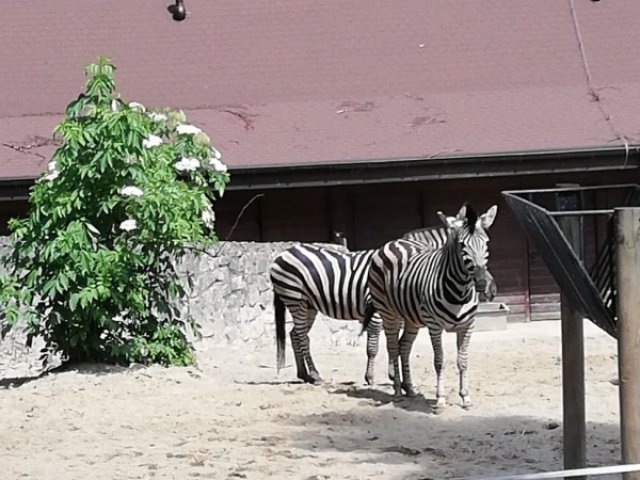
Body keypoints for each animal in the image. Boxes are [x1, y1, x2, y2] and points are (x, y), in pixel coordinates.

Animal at [272, 226, 450, 386]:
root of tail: (284, 253)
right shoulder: (377, 312)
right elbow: (374, 347)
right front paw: (371, 378)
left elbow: (393, 344)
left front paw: (393, 375)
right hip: (295, 298)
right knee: (303, 337)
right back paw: (315, 376)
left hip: (308, 305)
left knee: (295, 334)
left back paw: (304, 374)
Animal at [364, 202, 496, 408]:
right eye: (462, 245)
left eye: (486, 243)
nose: (483, 284)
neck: (460, 292)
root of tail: (393, 242)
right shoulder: (435, 326)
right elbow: (439, 360)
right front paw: (440, 399)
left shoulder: (468, 326)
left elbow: (463, 361)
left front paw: (465, 397)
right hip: (388, 313)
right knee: (393, 347)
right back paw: (397, 391)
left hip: (412, 318)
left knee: (404, 346)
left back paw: (409, 389)